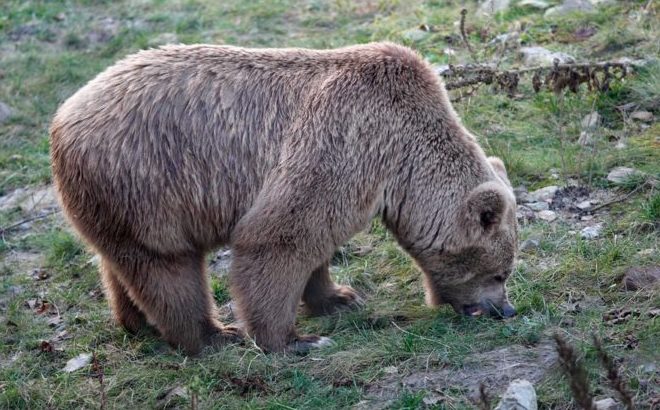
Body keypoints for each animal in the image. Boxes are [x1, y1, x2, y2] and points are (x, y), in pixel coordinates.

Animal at [50, 42, 516, 356]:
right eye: (499, 274)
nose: (506, 310)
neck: (403, 159)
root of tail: (62, 118)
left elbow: (315, 243)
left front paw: (340, 297)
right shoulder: (346, 139)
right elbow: (279, 238)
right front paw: (294, 339)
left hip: (115, 202)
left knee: (122, 261)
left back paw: (136, 323)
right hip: (145, 181)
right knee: (168, 268)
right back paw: (212, 335)